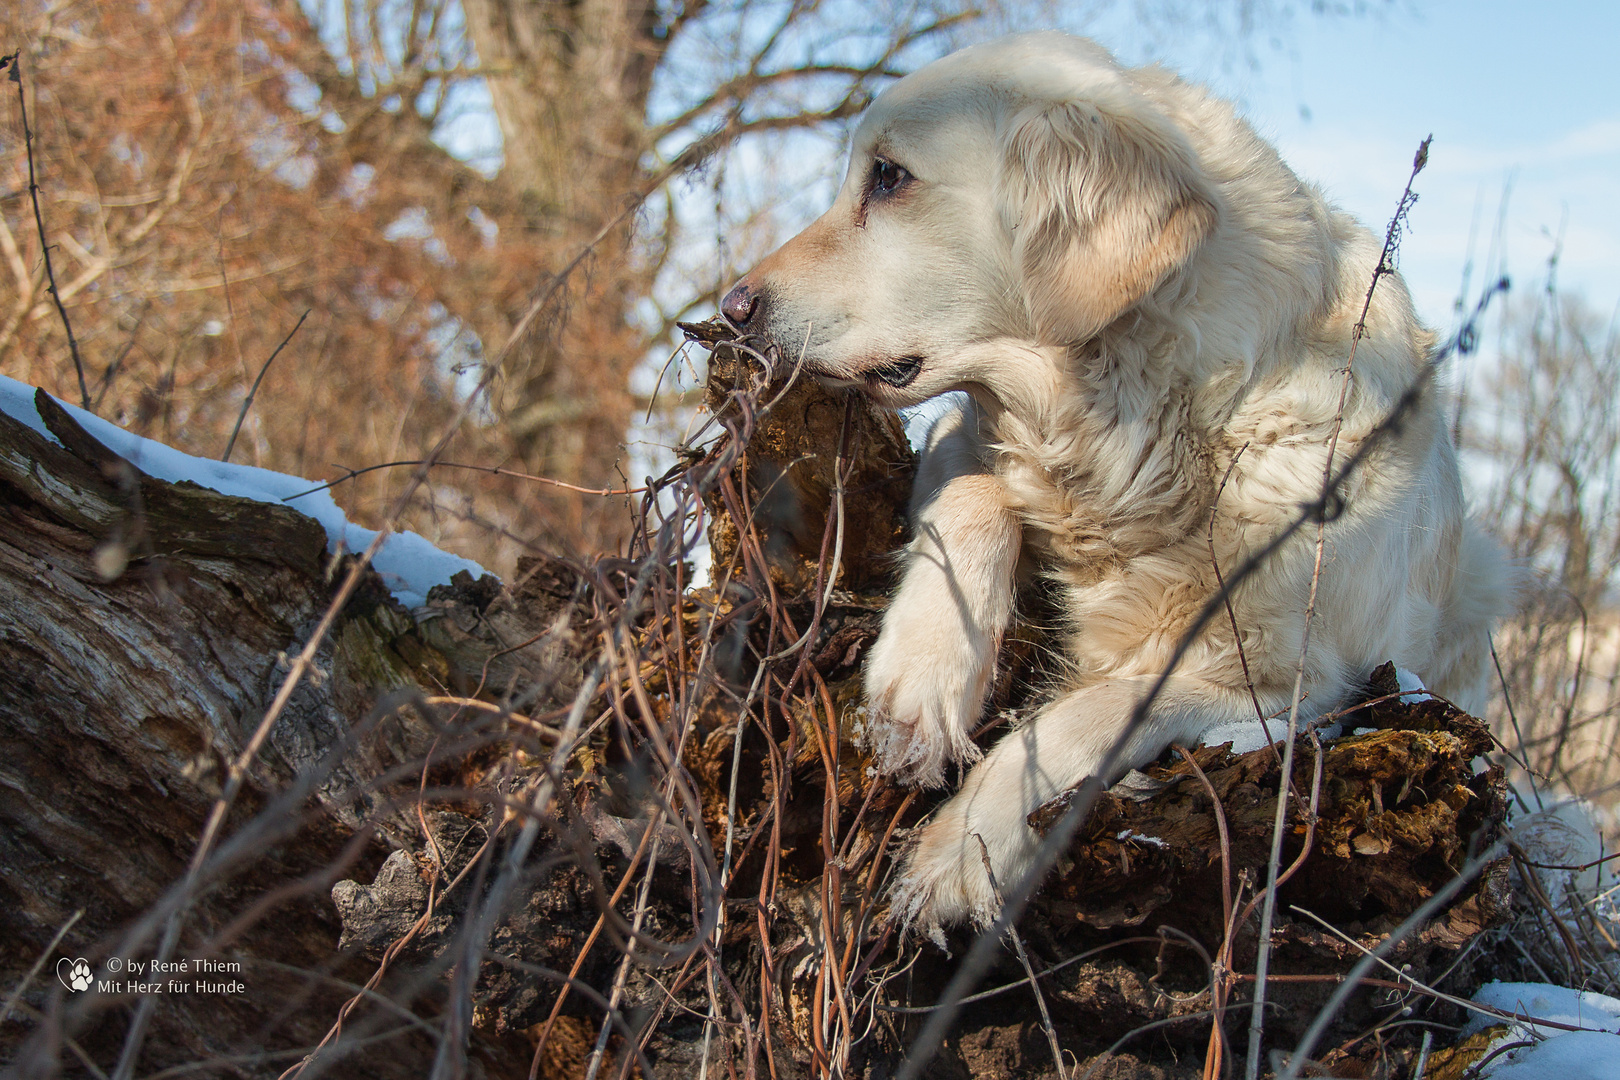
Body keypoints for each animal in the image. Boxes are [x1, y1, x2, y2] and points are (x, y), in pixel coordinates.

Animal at [722, 29, 1503, 932]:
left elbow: (1102, 708)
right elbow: (980, 494)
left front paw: (965, 852)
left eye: (889, 176)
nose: (733, 308)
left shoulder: (1300, 684)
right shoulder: (961, 432)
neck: (1140, 432)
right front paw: (920, 683)